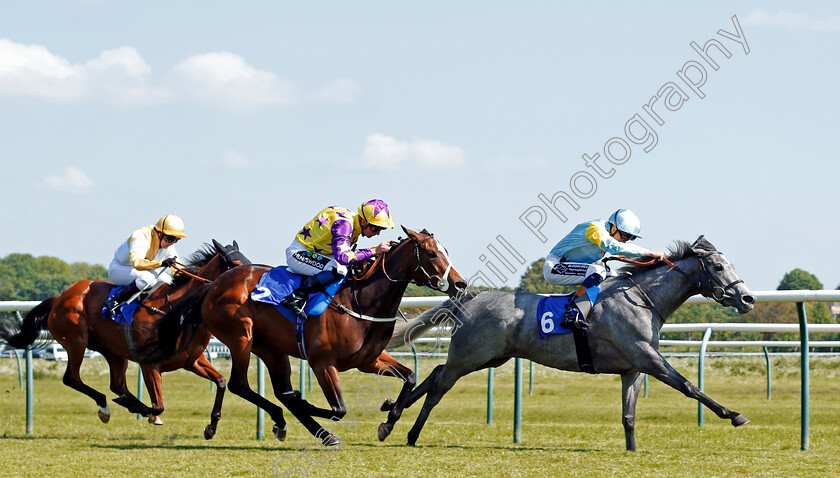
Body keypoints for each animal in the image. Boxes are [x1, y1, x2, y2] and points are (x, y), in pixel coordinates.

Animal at [0, 239, 248, 436]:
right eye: (235, 265)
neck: (177, 310)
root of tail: (60, 297)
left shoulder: (192, 360)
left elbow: (221, 382)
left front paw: (211, 427)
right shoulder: (149, 364)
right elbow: (158, 406)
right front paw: (145, 412)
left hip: (113, 352)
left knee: (116, 384)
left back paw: (121, 402)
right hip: (76, 341)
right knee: (72, 378)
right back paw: (106, 406)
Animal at [191, 227, 466, 444]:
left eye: (446, 251)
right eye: (431, 253)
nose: (460, 284)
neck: (361, 301)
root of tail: (215, 284)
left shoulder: (369, 361)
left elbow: (409, 377)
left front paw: (388, 420)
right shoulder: (322, 362)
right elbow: (339, 410)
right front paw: (305, 402)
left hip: (270, 349)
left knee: (279, 391)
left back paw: (307, 429)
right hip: (241, 337)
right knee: (240, 384)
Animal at [380, 237, 756, 450]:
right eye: (718, 266)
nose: (747, 298)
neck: (641, 298)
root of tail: (470, 296)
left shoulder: (633, 368)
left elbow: (628, 415)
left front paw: (632, 450)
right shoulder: (647, 357)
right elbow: (689, 386)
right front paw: (734, 415)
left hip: (489, 357)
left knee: (435, 374)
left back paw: (391, 418)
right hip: (471, 356)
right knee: (438, 388)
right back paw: (409, 433)